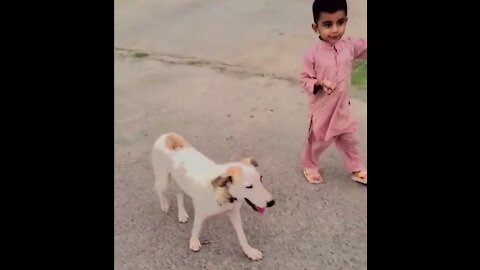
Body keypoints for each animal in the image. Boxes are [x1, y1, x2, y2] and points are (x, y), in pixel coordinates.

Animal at [152, 132, 276, 260]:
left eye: (261, 179)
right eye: (249, 186)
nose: (272, 202)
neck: (224, 193)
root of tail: (168, 135)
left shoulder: (234, 213)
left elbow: (242, 235)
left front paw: (249, 251)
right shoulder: (200, 212)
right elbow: (196, 228)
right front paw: (194, 241)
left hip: (180, 180)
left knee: (179, 194)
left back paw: (182, 214)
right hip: (163, 179)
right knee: (158, 189)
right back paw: (164, 205)